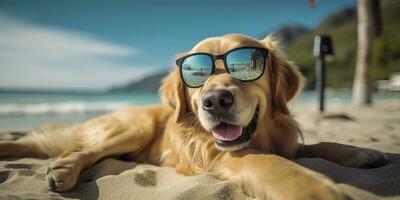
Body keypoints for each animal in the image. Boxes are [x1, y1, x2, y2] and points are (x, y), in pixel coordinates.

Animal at [0, 33, 388, 199]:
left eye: (245, 66)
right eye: (196, 74)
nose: (215, 101)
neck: (260, 136)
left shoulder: (286, 141)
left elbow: (315, 145)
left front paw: (361, 152)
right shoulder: (227, 156)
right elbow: (276, 165)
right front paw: (312, 190)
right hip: (134, 127)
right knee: (84, 149)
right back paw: (64, 169)